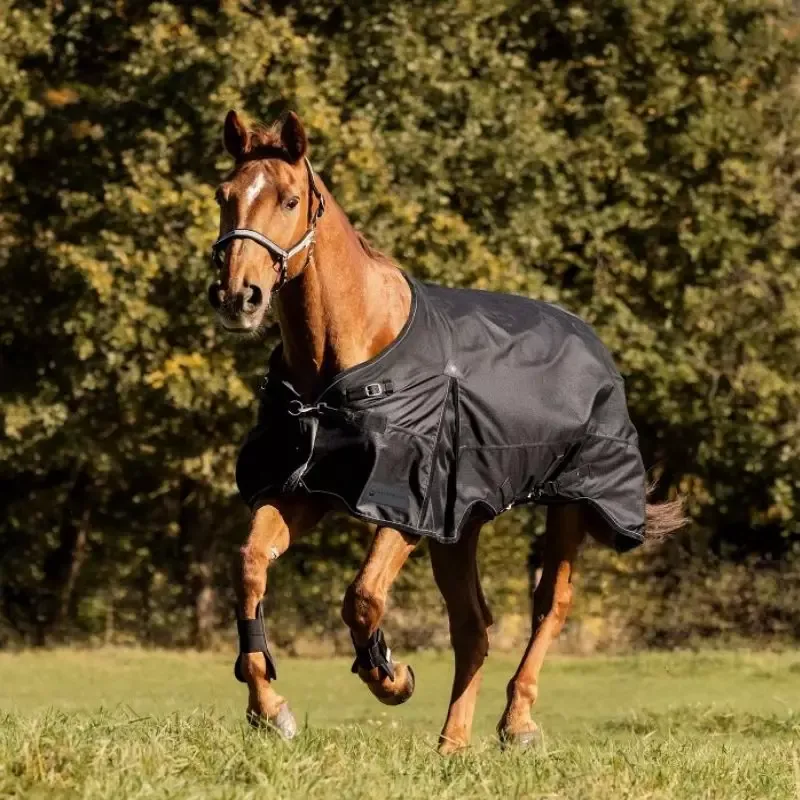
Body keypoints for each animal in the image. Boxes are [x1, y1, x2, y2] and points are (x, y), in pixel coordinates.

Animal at [208, 110, 686, 753]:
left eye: (288, 200)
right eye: (224, 195)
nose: (239, 296)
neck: (343, 363)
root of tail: (591, 340)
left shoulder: (408, 504)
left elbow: (362, 597)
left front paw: (391, 677)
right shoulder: (308, 489)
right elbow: (250, 565)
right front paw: (270, 710)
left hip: (569, 504)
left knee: (548, 605)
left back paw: (517, 724)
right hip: (462, 524)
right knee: (473, 627)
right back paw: (452, 744)